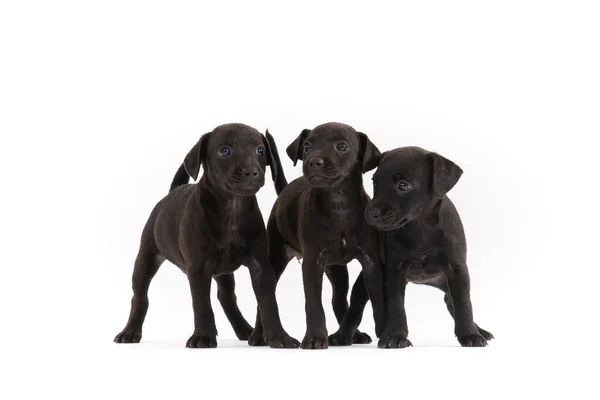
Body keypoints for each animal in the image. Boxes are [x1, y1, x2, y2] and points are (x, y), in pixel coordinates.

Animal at [113, 123, 298, 348]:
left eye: (260, 150)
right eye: (224, 151)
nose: (251, 171)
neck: (232, 207)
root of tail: (171, 193)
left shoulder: (261, 267)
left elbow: (268, 303)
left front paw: (279, 336)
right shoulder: (198, 269)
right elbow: (201, 303)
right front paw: (202, 336)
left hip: (223, 272)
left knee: (226, 297)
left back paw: (244, 329)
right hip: (146, 258)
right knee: (139, 296)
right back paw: (130, 332)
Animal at [248, 122, 384, 350]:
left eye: (342, 146)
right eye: (307, 146)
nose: (313, 162)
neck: (338, 201)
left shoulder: (371, 262)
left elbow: (376, 300)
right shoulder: (313, 262)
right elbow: (313, 304)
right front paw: (314, 338)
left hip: (336, 269)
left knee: (338, 299)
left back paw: (353, 334)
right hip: (275, 258)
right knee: (264, 298)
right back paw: (259, 335)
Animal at [366, 147, 492, 346]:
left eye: (403, 185)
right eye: (375, 183)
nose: (371, 213)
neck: (420, 227)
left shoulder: (457, 270)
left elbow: (464, 303)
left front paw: (470, 335)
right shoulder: (394, 271)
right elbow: (396, 304)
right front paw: (395, 335)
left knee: (453, 301)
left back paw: (479, 330)